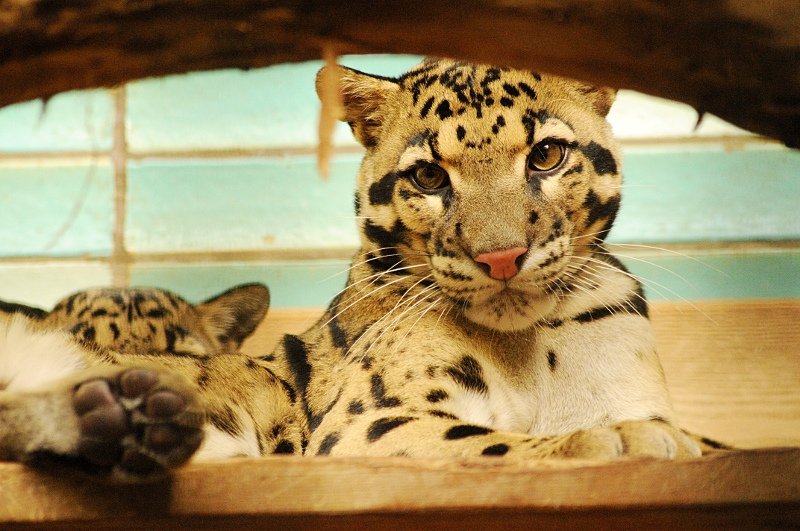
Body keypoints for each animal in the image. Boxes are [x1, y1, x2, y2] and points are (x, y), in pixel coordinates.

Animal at [271, 58, 712, 460]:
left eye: (547, 154)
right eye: (428, 176)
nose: (501, 257)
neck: (527, 354)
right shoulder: (364, 423)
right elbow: (490, 443)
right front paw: (625, 438)